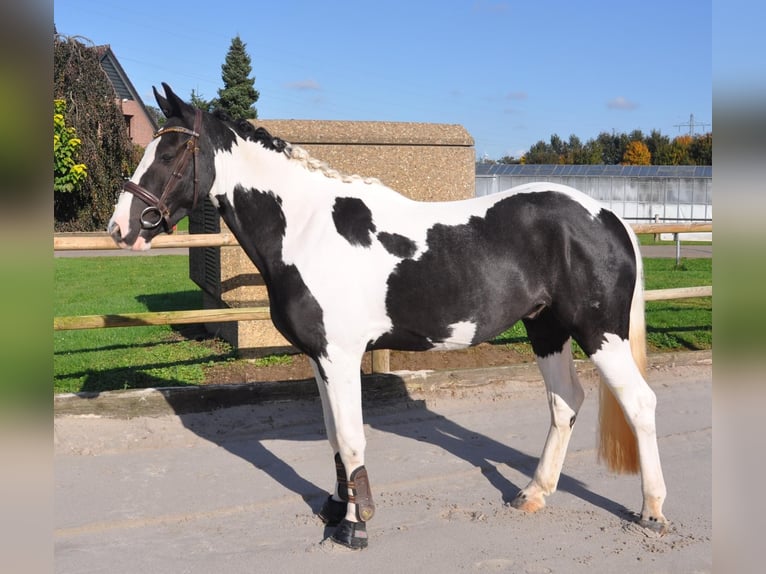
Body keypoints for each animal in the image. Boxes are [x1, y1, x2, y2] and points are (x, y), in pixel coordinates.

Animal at [105, 83, 668, 552]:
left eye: (170, 153)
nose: (119, 228)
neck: (307, 229)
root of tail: (609, 217)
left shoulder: (340, 355)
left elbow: (352, 438)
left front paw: (355, 528)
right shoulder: (320, 358)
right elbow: (335, 438)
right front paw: (337, 510)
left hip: (599, 333)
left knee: (640, 403)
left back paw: (652, 511)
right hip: (547, 328)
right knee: (564, 402)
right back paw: (532, 493)